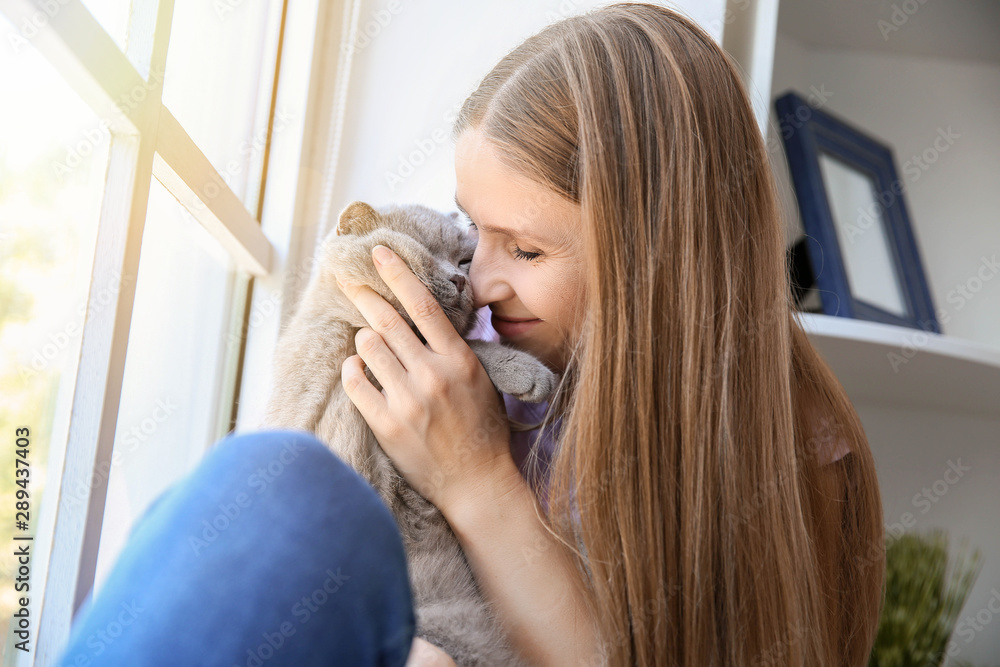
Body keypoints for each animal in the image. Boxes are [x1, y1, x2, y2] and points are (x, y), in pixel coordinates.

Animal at [258, 201, 560, 664]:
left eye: (465, 260)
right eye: (424, 250)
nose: (460, 279)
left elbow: (451, 344)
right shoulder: (344, 395)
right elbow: (463, 346)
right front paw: (527, 371)